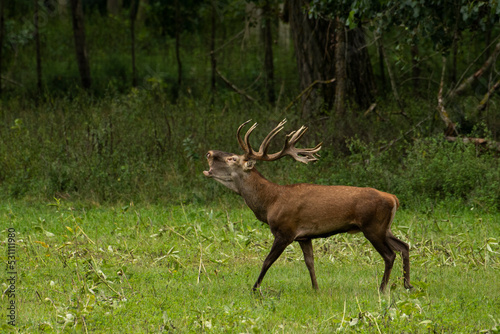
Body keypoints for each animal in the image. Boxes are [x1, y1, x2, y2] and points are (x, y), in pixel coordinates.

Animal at [201, 120, 412, 292]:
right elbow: (310, 262)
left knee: (390, 255)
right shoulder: (304, 236)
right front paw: (316, 288)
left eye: (232, 159)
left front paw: (254, 289)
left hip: (372, 226)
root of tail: (393, 198)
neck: (270, 202)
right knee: (404, 246)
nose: (209, 153)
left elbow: (267, 261)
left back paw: (383, 288)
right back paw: (407, 284)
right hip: (384, 227)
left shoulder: (285, 231)